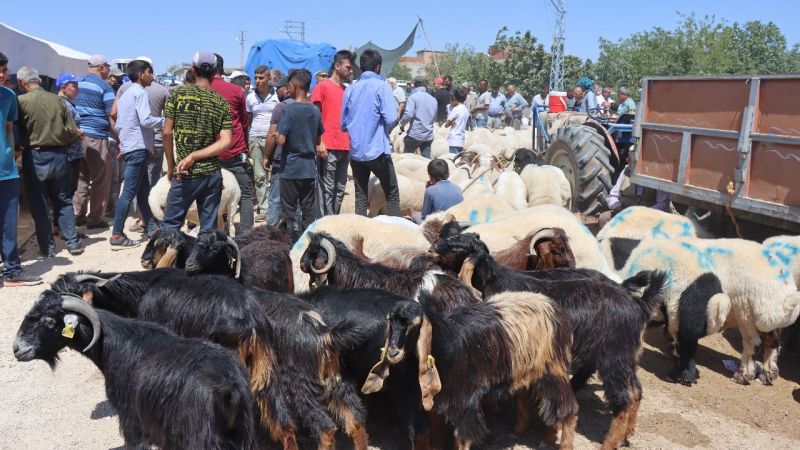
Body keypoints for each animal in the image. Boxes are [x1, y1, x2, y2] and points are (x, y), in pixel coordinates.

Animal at [366, 292, 580, 450]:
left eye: (413, 324)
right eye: (391, 322)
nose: (393, 352)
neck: (447, 345)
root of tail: (554, 306)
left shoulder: (465, 399)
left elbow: (462, 438)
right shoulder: (441, 396)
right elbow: (436, 429)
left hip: (553, 369)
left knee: (568, 407)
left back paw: (562, 443)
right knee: (536, 400)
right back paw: (527, 431)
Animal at [428, 232, 664, 450]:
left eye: (459, 246)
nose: (431, 249)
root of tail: (638, 304)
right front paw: (521, 428)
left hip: (614, 357)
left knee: (623, 400)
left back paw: (608, 442)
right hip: (626, 356)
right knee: (636, 391)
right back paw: (625, 435)